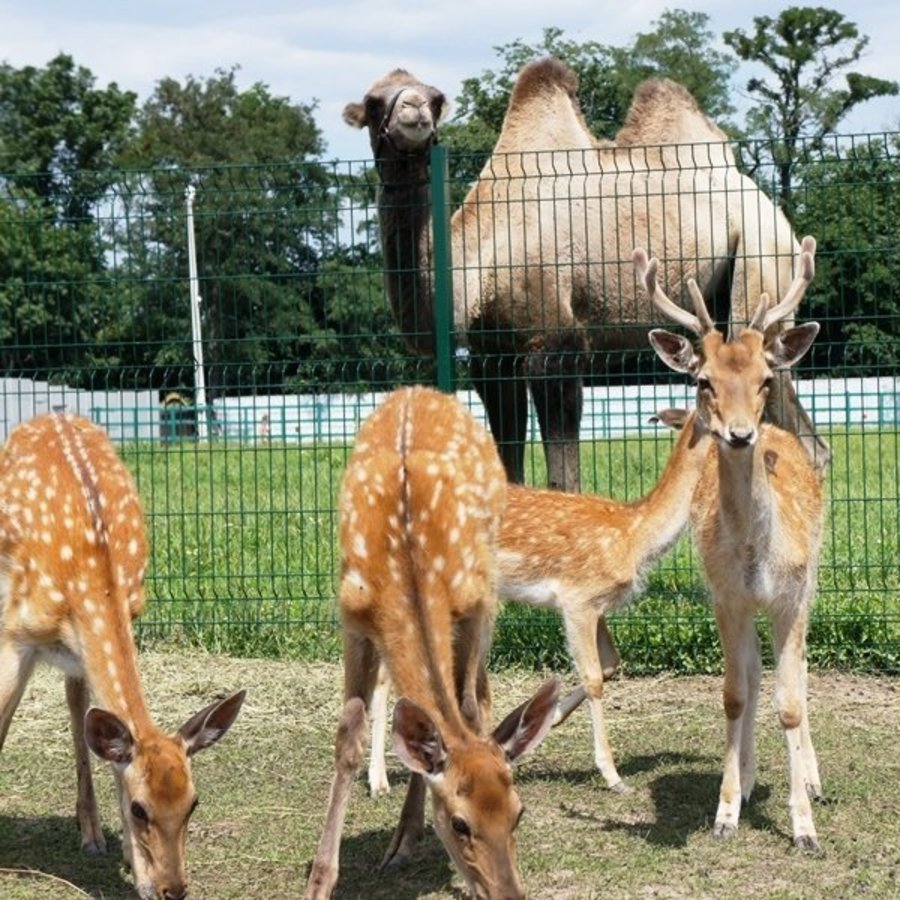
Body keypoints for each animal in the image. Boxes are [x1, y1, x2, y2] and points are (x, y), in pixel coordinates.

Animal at [0, 412, 244, 896]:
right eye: (139, 808)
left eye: (194, 802)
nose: (173, 889)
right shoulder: (14, 635)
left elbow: (111, 747)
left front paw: (133, 867)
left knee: (78, 707)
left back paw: (90, 832)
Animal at [310, 386, 564, 900]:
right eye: (460, 823)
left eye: (519, 814)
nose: (509, 894)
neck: (407, 566)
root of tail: (420, 391)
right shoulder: (353, 616)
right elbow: (349, 734)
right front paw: (320, 880)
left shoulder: (469, 605)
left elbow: (463, 708)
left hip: (488, 586)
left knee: (478, 697)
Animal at [344, 56, 828, 492]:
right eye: (373, 102)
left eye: (435, 98)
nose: (413, 110)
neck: (478, 261)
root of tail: (777, 216)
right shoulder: (491, 355)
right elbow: (508, 465)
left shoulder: (555, 343)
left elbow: (564, 476)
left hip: (758, 266)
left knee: (803, 438)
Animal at [364, 408, 712, 796]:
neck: (632, 536)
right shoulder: (578, 599)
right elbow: (594, 677)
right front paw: (613, 775)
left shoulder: (598, 606)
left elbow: (611, 663)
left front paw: (549, 718)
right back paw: (378, 780)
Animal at [636, 234, 828, 852]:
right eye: (705, 381)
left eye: (766, 379)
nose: (741, 435)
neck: (754, 559)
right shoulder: (726, 598)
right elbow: (735, 693)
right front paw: (725, 811)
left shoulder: (790, 597)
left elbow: (791, 703)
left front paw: (803, 828)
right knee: (753, 674)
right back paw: (746, 781)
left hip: (812, 581)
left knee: (800, 673)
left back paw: (814, 782)